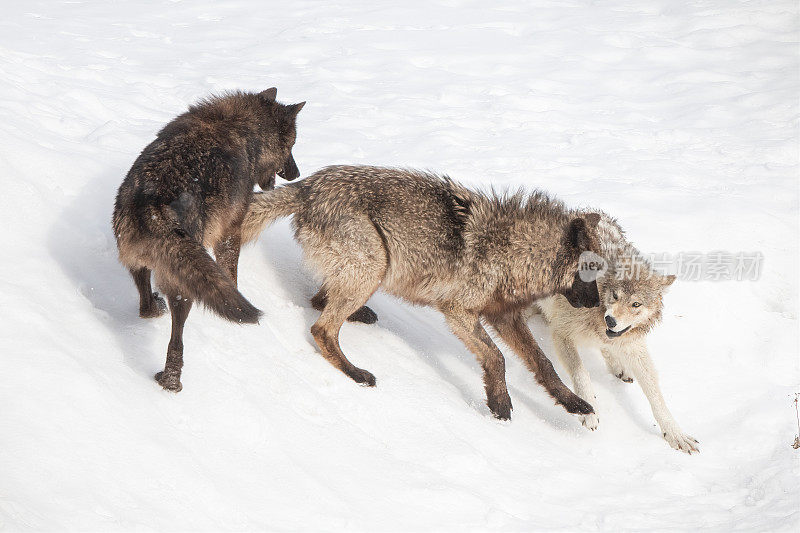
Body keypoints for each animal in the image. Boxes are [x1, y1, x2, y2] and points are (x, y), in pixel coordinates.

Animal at [115, 88, 306, 390]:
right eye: (293, 145)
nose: (297, 173)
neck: (243, 129)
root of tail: (153, 207)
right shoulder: (230, 232)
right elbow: (231, 275)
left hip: (138, 265)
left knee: (144, 307)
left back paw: (155, 310)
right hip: (185, 289)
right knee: (176, 341)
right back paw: (171, 382)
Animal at [241, 165, 604, 420]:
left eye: (600, 271)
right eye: (591, 272)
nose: (602, 311)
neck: (515, 253)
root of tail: (306, 187)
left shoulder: (506, 318)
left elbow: (544, 365)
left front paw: (574, 404)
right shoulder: (458, 313)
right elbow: (497, 358)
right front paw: (499, 403)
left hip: (368, 271)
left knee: (319, 301)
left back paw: (360, 317)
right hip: (375, 266)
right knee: (322, 329)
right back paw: (356, 373)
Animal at [536, 210, 700, 450]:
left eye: (636, 304)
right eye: (615, 296)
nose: (611, 320)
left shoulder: (633, 346)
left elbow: (656, 395)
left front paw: (675, 433)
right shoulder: (562, 332)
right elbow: (581, 373)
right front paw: (589, 411)